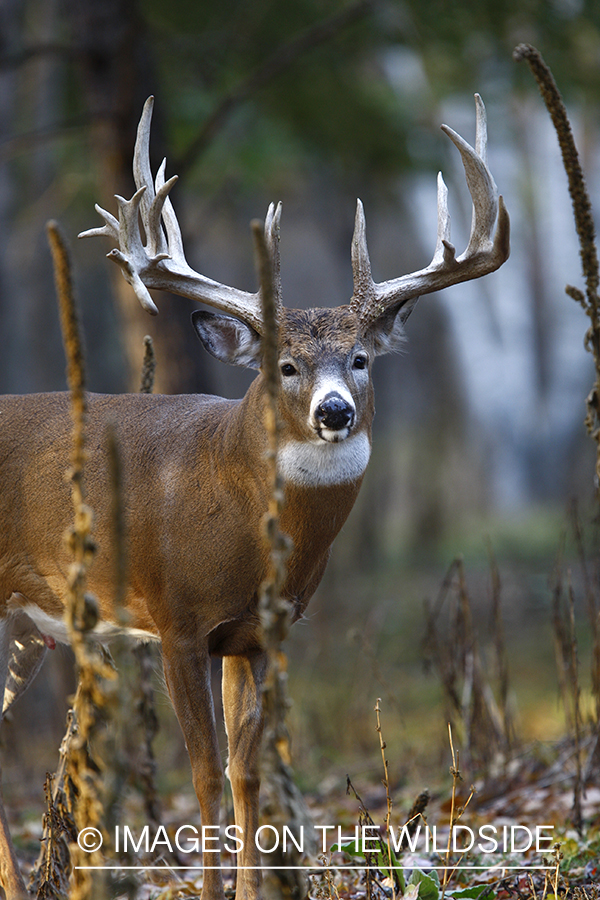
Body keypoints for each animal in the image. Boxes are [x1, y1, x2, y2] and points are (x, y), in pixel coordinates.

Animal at [0, 93, 508, 900]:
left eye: (360, 359)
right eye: (286, 365)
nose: (335, 412)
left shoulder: (260, 632)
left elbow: (246, 771)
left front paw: (248, 887)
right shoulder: (175, 619)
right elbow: (205, 772)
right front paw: (211, 889)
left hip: (26, 627)